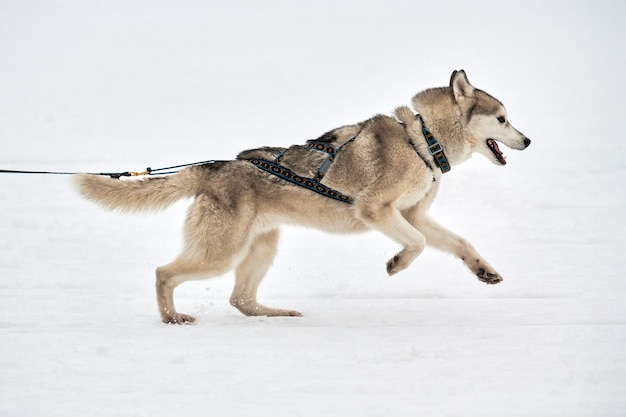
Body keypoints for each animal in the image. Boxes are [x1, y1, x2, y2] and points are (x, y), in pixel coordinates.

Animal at [75, 70, 528, 324]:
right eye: (503, 118)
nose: (527, 140)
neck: (424, 142)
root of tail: (215, 168)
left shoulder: (412, 215)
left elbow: (460, 242)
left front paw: (484, 271)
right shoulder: (377, 211)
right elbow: (414, 245)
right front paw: (396, 264)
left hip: (261, 247)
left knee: (241, 300)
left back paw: (278, 314)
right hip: (221, 253)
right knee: (163, 274)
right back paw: (172, 319)